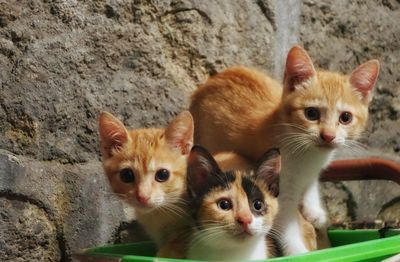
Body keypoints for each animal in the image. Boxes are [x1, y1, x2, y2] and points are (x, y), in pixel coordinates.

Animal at [189, 46, 380, 255]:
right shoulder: (279, 189)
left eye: (345, 117)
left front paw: (314, 209)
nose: (328, 136)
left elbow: (311, 183)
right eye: (311, 113)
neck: (309, 154)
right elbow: (286, 226)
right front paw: (301, 253)